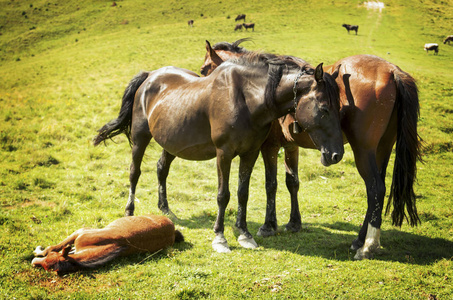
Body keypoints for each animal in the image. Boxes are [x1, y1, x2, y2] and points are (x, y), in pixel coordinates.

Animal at [30, 214, 183, 274]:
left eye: (51, 257)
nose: (34, 263)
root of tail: (172, 228)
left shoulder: (79, 232)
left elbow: (55, 246)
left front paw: (38, 250)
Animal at [94, 51, 342, 253]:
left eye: (339, 108)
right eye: (324, 108)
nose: (336, 155)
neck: (247, 98)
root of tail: (149, 76)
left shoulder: (250, 153)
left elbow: (243, 193)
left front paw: (244, 234)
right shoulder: (224, 153)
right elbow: (224, 195)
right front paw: (220, 238)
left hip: (172, 142)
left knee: (161, 169)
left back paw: (166, 211)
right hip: (140, 139)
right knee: (134, 173)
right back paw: (129, 212)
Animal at [201, 39, 420, 260]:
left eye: (204, 70)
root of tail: (392, 71)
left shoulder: (269, 147)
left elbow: (271, 184)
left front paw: (268, 226)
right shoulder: (290, 146)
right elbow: (292, 182)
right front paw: (293, 223)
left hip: (364, 151)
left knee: (375, 188)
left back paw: (368, 245)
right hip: (383, 149)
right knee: (377, 190)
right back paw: (359, 240)